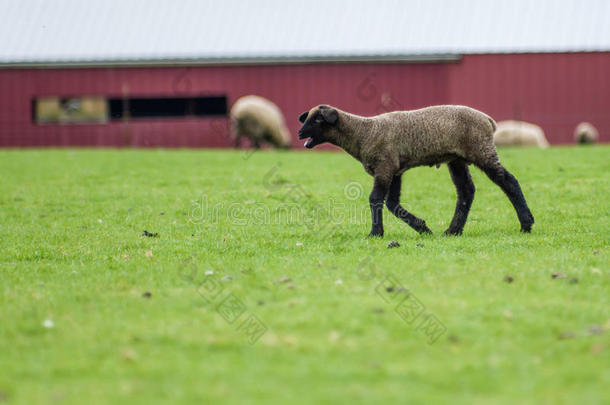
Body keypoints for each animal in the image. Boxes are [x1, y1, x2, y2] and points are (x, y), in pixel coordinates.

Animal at [296, 105, 532, 237]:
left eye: (318, 119)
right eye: (307, 117)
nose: (299, 133)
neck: (364, 132)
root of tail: (488, 120)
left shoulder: (385, 165)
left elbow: (376, 199)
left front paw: (375, 233)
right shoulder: (395, 170)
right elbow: (392, 203)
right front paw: (422, 228)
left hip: (481, 150)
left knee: (508, 181)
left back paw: (526, 224)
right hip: (457, 158)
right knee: (466, 190)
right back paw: (452, 231)